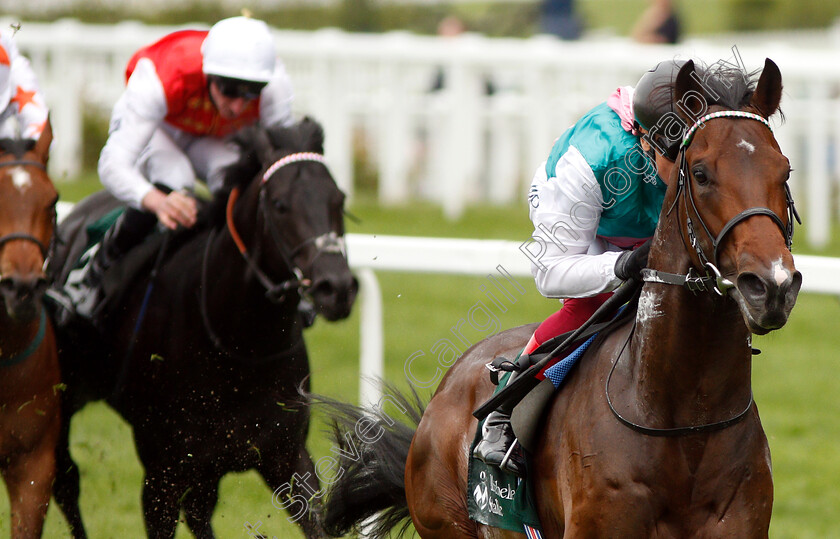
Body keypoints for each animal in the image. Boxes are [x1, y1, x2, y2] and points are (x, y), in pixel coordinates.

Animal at [49, 119, 358, 539]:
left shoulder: (285, 454)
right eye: (280, 205)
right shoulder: (162, 471)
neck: (240, 346)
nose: (336, 288)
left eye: (339, 200)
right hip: (61, 397)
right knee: (65, 479)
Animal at [320, 57, 800, 536]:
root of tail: (444, 391)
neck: (687, 425)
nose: (771, 285)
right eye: (700, 173)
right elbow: (553, 266)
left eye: (785, 171)